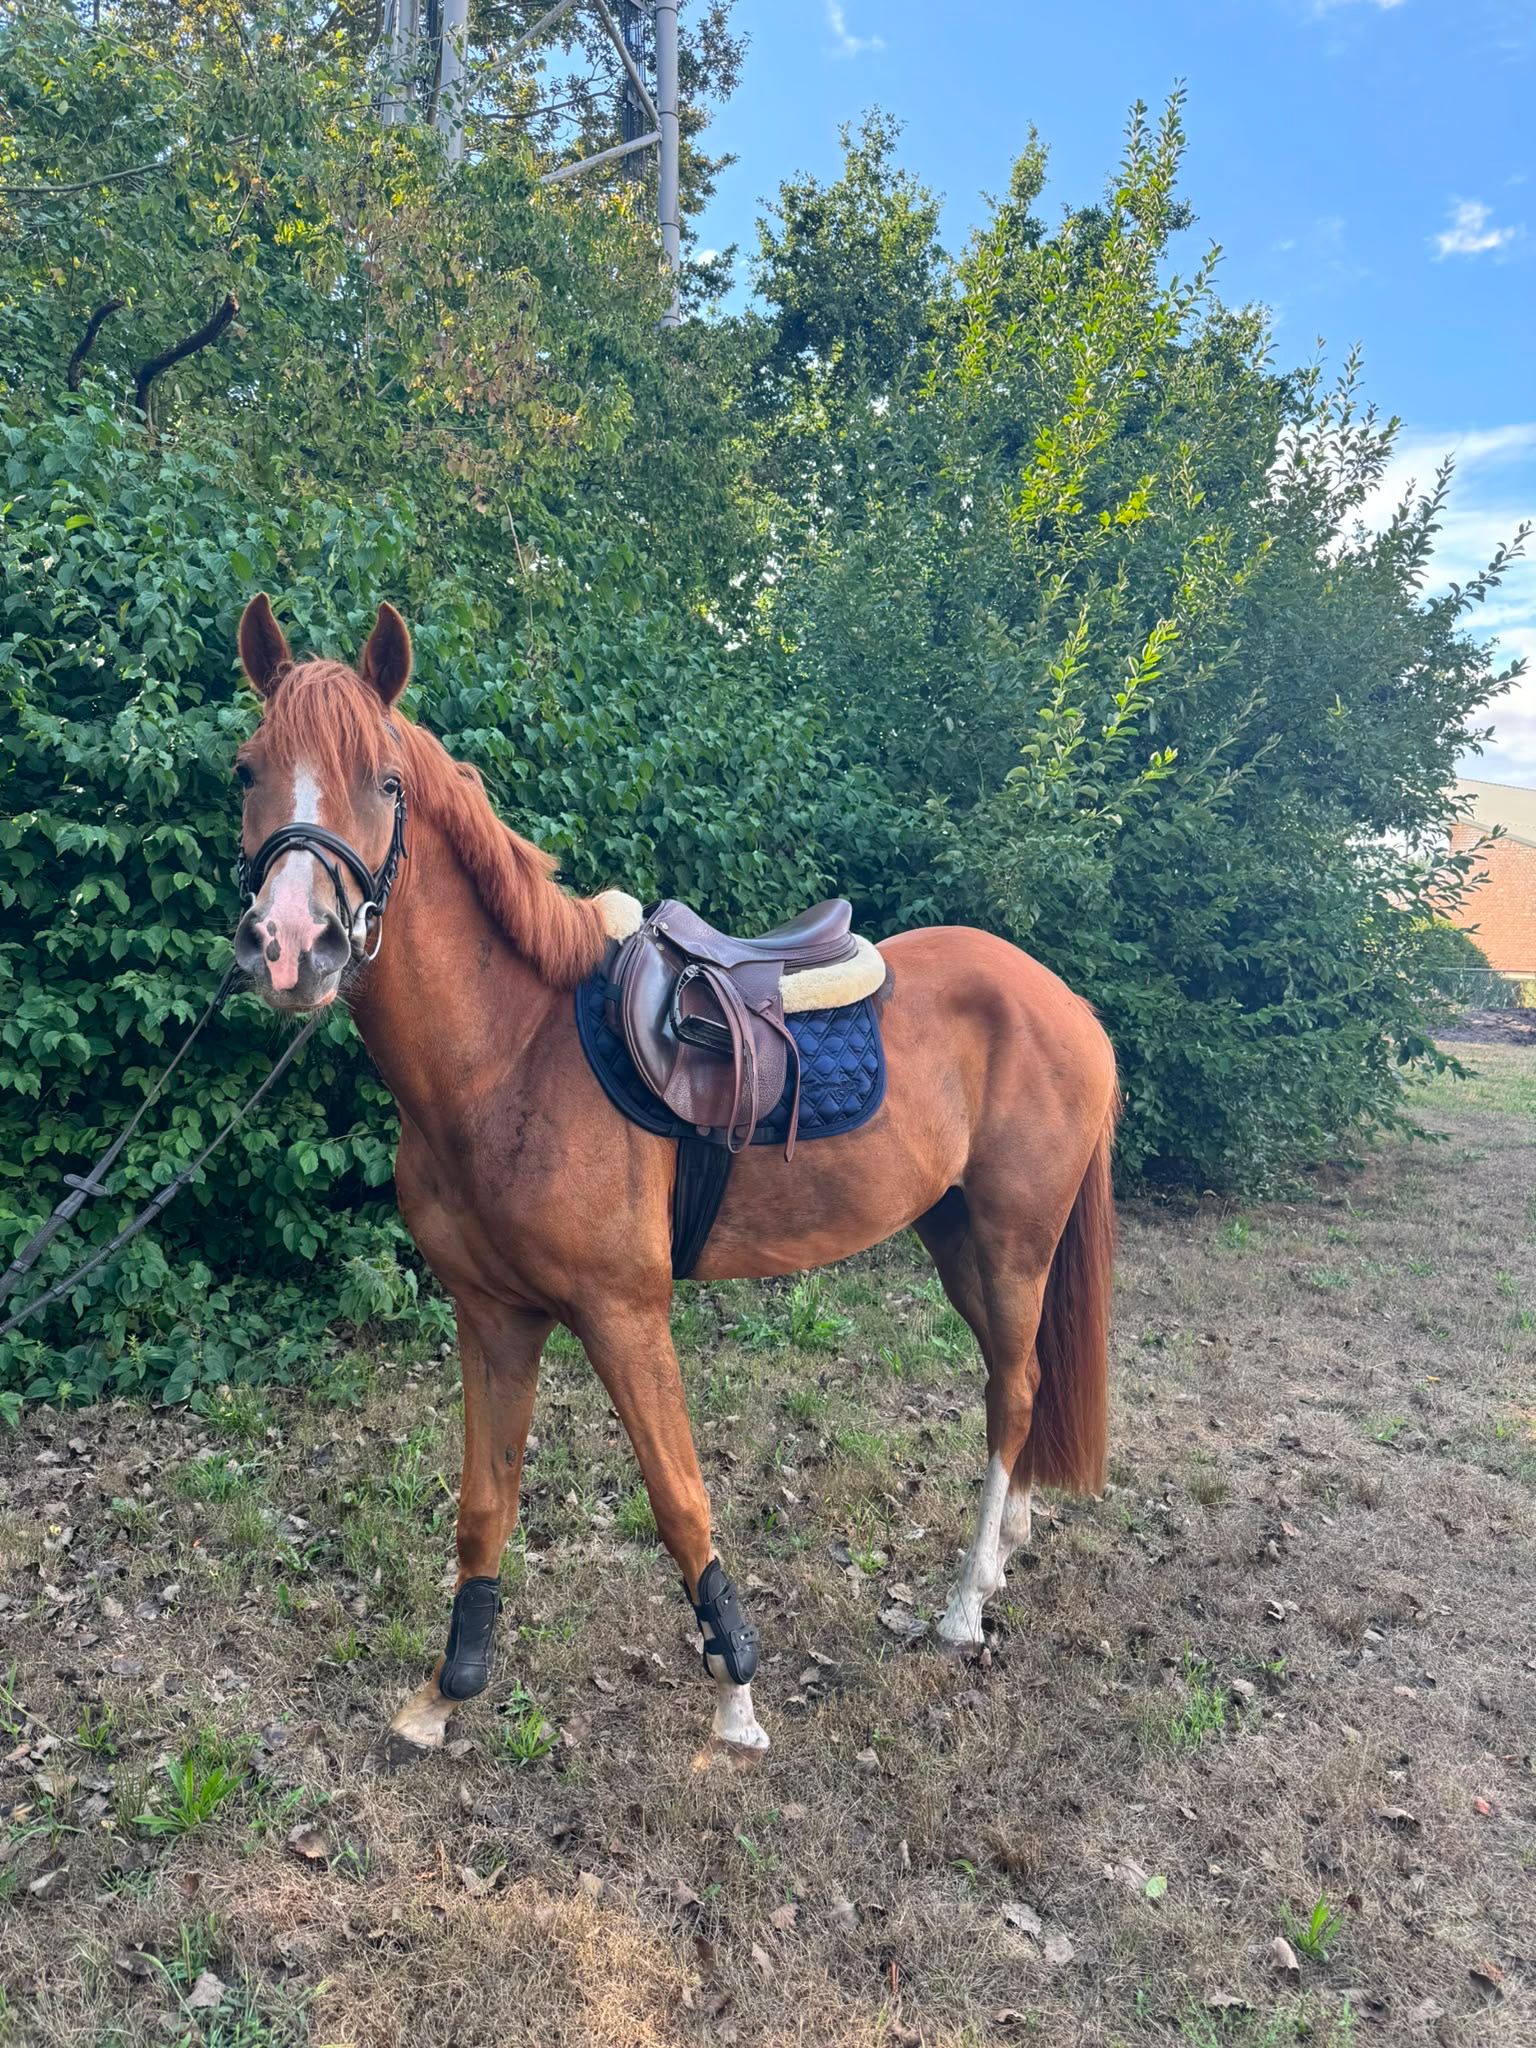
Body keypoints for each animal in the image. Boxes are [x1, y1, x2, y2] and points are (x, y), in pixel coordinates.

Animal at [230, 594, 1119, 1760]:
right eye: (248, 769)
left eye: (385, 781)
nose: (294, 947)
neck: (510, 1054)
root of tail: (1069, 1003)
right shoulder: (494, 1314)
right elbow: (485, 1502)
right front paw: (445, 1690)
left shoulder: (624, 1311)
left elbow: (678, 1497)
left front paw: (735, 1694)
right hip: (958, 1239)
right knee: (1015, 1391)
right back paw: (1004, 1550)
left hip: (1016, 1245)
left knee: (1012, 1394)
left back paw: (965, 1603)